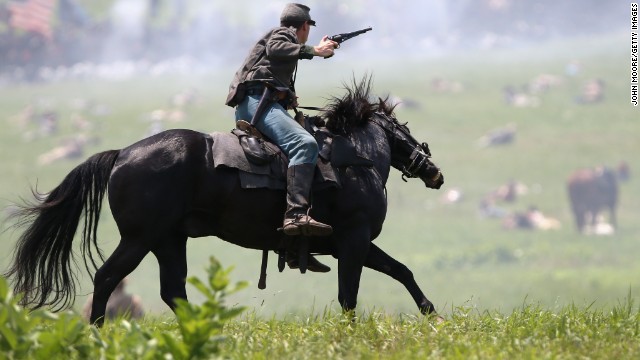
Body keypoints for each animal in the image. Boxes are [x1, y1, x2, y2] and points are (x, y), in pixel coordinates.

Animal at [3, 79, 444, 326]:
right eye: (403, 128)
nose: (433, 171)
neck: (354, 159)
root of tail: (122, 154)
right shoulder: (354, 240)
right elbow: (349, 295)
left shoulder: (351, 244)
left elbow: (401, 271)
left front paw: (431, 313)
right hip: (139, 239)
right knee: (107, 278)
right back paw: (97, 332)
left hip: (168, 240)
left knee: (173, 291)